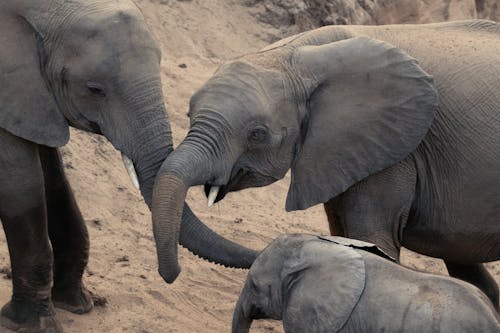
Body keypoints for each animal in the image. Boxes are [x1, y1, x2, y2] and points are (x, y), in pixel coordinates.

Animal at [0, 1, 258, 330]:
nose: (170, 275)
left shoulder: (33, 99)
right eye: (94, 89)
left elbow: (54, 180)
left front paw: (77, 305)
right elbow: (22, 184)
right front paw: (27, 324)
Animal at [153, 19, 500, 306]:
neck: (298, 55)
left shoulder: (397, 146)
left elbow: (371, 238)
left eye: (257, 134)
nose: (173, 273)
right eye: (188, 114)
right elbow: (343, 229)